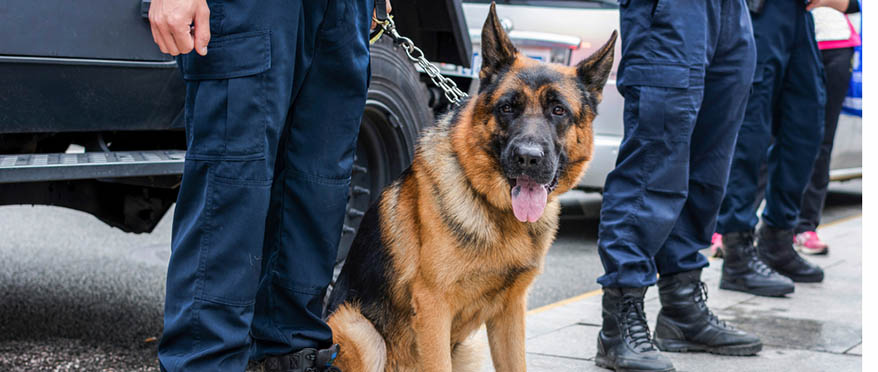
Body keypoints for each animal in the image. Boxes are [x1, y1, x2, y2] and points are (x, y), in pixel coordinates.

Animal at [324, 4, 620, 370]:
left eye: (558, 110)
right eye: (507, 107)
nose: (528, 158)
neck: (499, 213)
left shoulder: (511, 312)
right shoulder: (434, 310)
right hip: (359, 330)